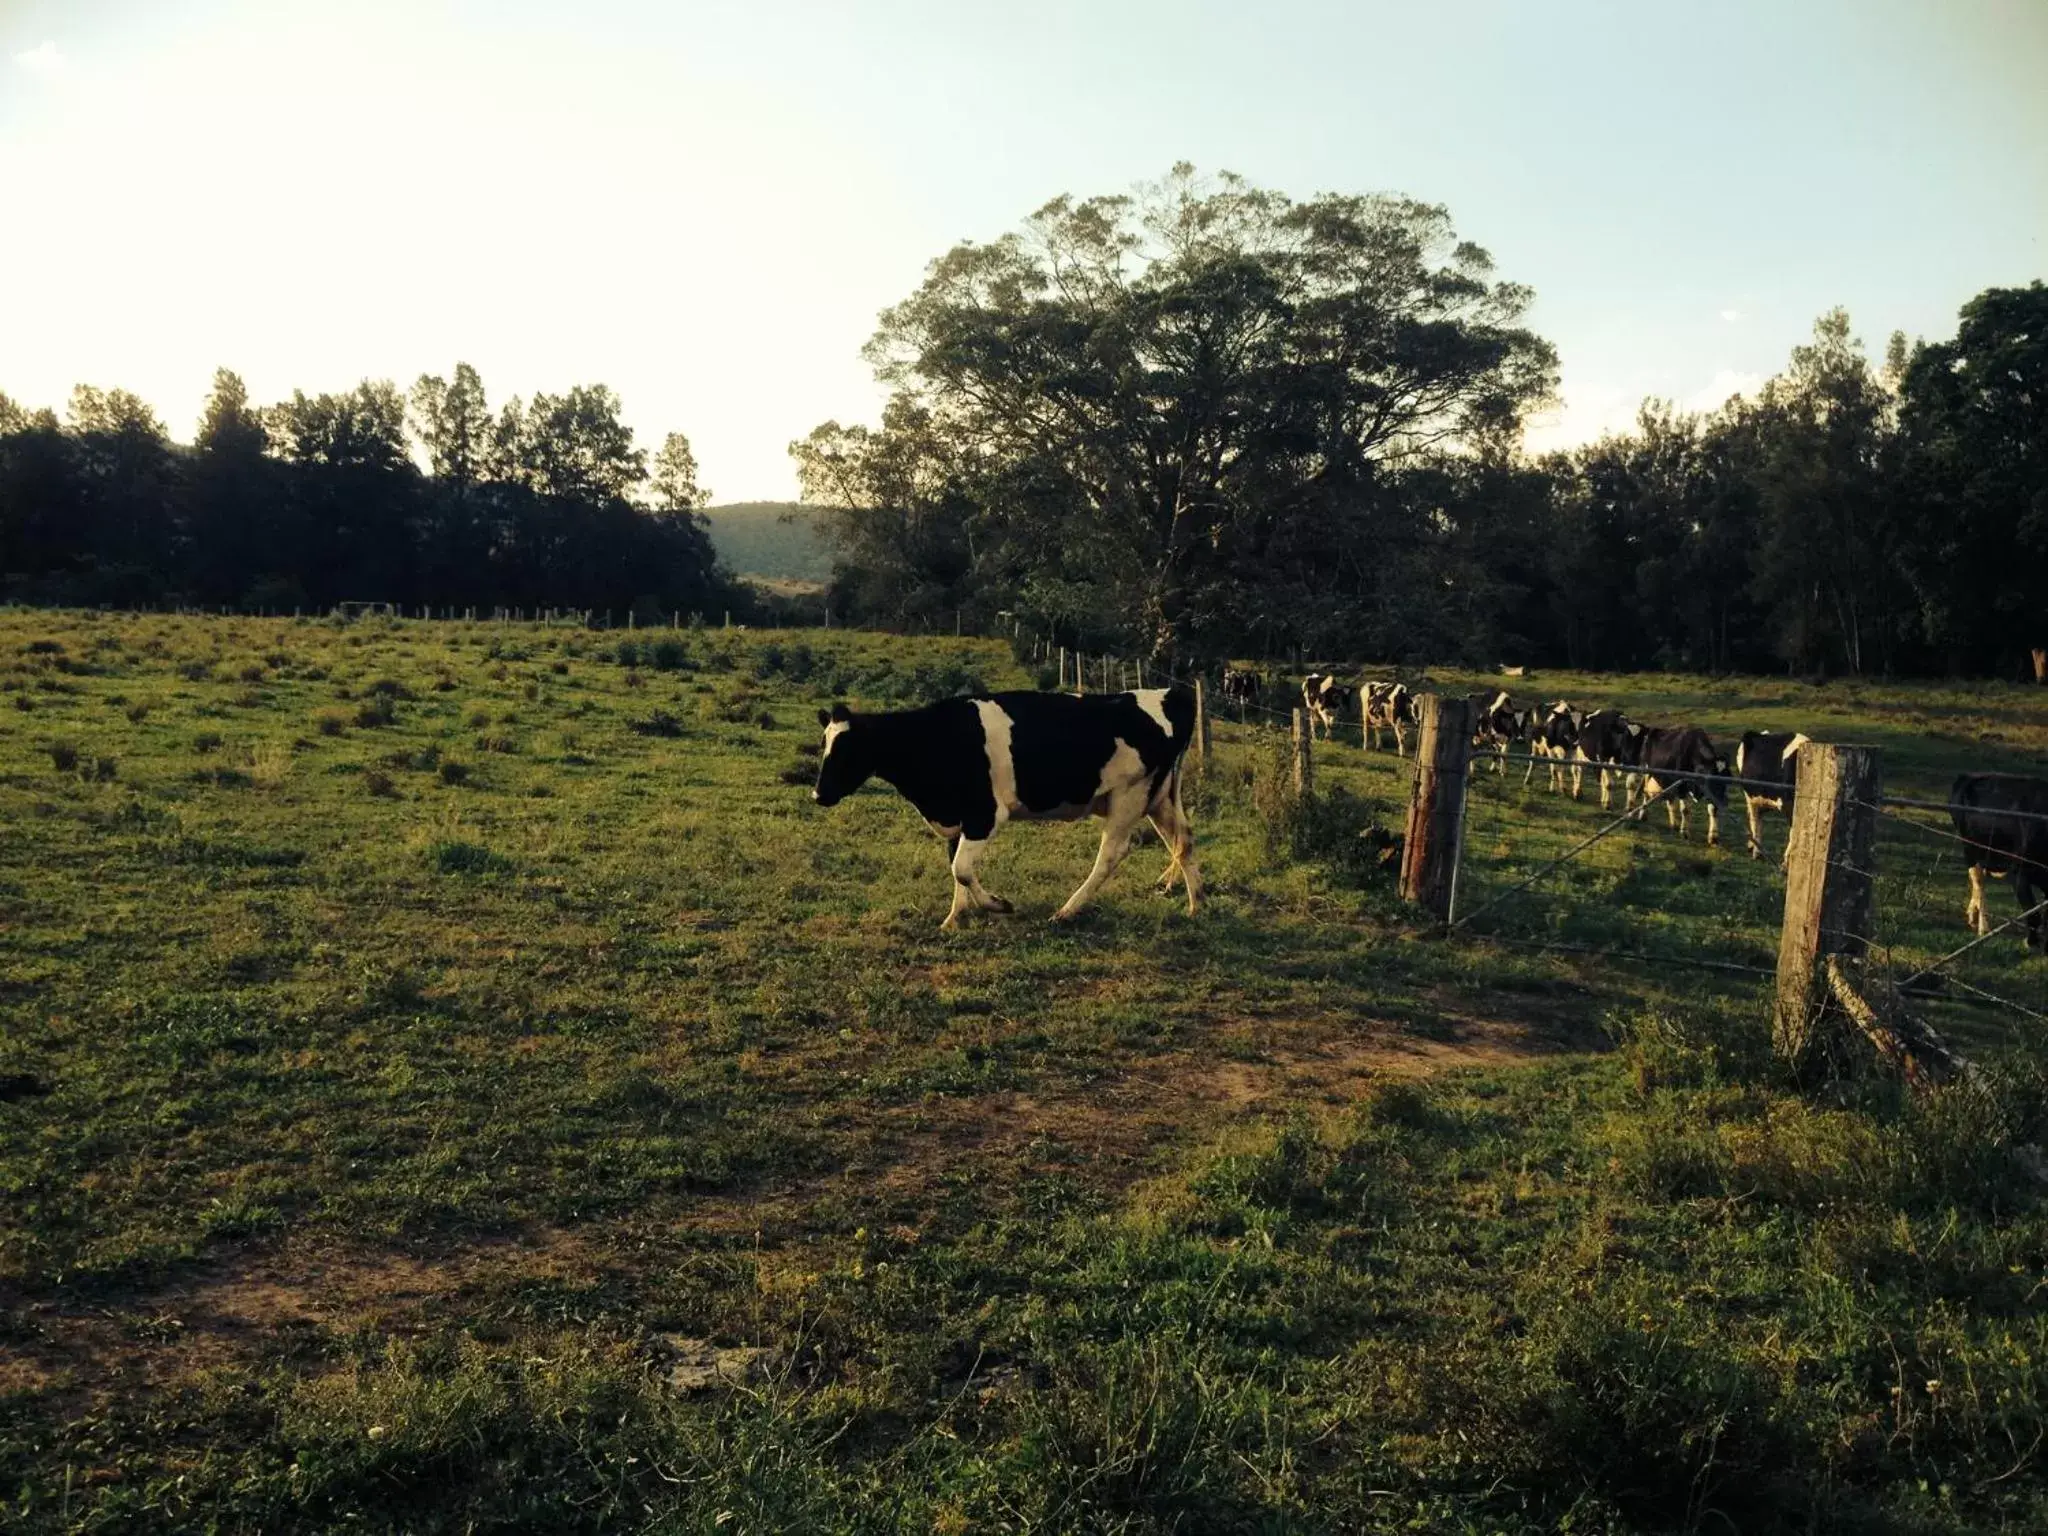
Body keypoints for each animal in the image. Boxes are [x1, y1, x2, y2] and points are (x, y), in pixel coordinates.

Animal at [811, 692, 1196, 933]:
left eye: (847, 749)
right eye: (823, 743)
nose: (818, 794)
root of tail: (1169, 693)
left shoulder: (985, 815)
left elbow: (962, 869)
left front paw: (997, 905)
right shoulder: (960, 817)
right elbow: (956, 867)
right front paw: (955, 918)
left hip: (1128, 797)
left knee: (1113, 853)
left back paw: (1066, 912)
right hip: (1159, 798)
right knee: (1182, 839)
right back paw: (1197, 903)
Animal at [1728, 733, 1810, 868]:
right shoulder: (1789, 805)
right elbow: (1793, 832)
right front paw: (1786, 862)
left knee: (1758, 819)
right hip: (1750, 796)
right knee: (1754, 820)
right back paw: (1756, 851)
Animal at [1941, 774, 2039, 958]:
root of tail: (1969, 777)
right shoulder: (2019, 873)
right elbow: (2032, 910)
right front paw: (2031, 943)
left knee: (1978, 880)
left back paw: (1973, 916)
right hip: (1970, 848)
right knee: (1978, 880)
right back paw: (1983, 927)